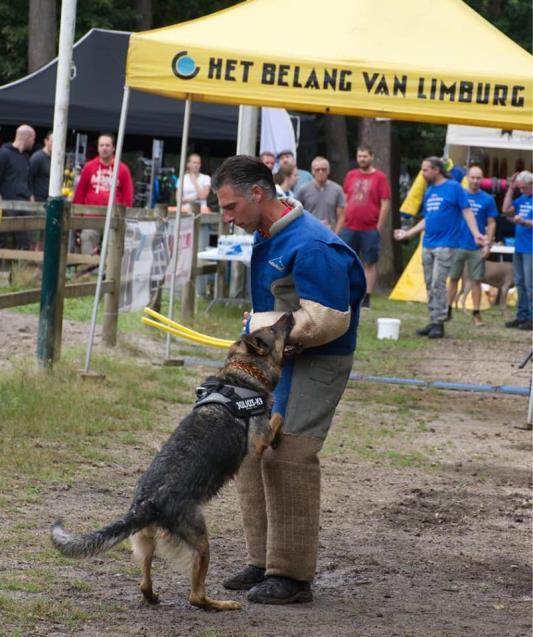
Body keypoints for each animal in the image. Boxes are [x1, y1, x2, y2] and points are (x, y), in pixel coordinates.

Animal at [50, 314, 296, 612]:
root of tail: (146, 504)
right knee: (196, 596)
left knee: (144, 583)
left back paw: (153, 597)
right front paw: (280, 431)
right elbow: (278, 417)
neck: (243, 375)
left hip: (145, 542)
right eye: (274, 328)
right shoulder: (258, 440)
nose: (290, 314)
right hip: (201, 543)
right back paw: (222, 604)